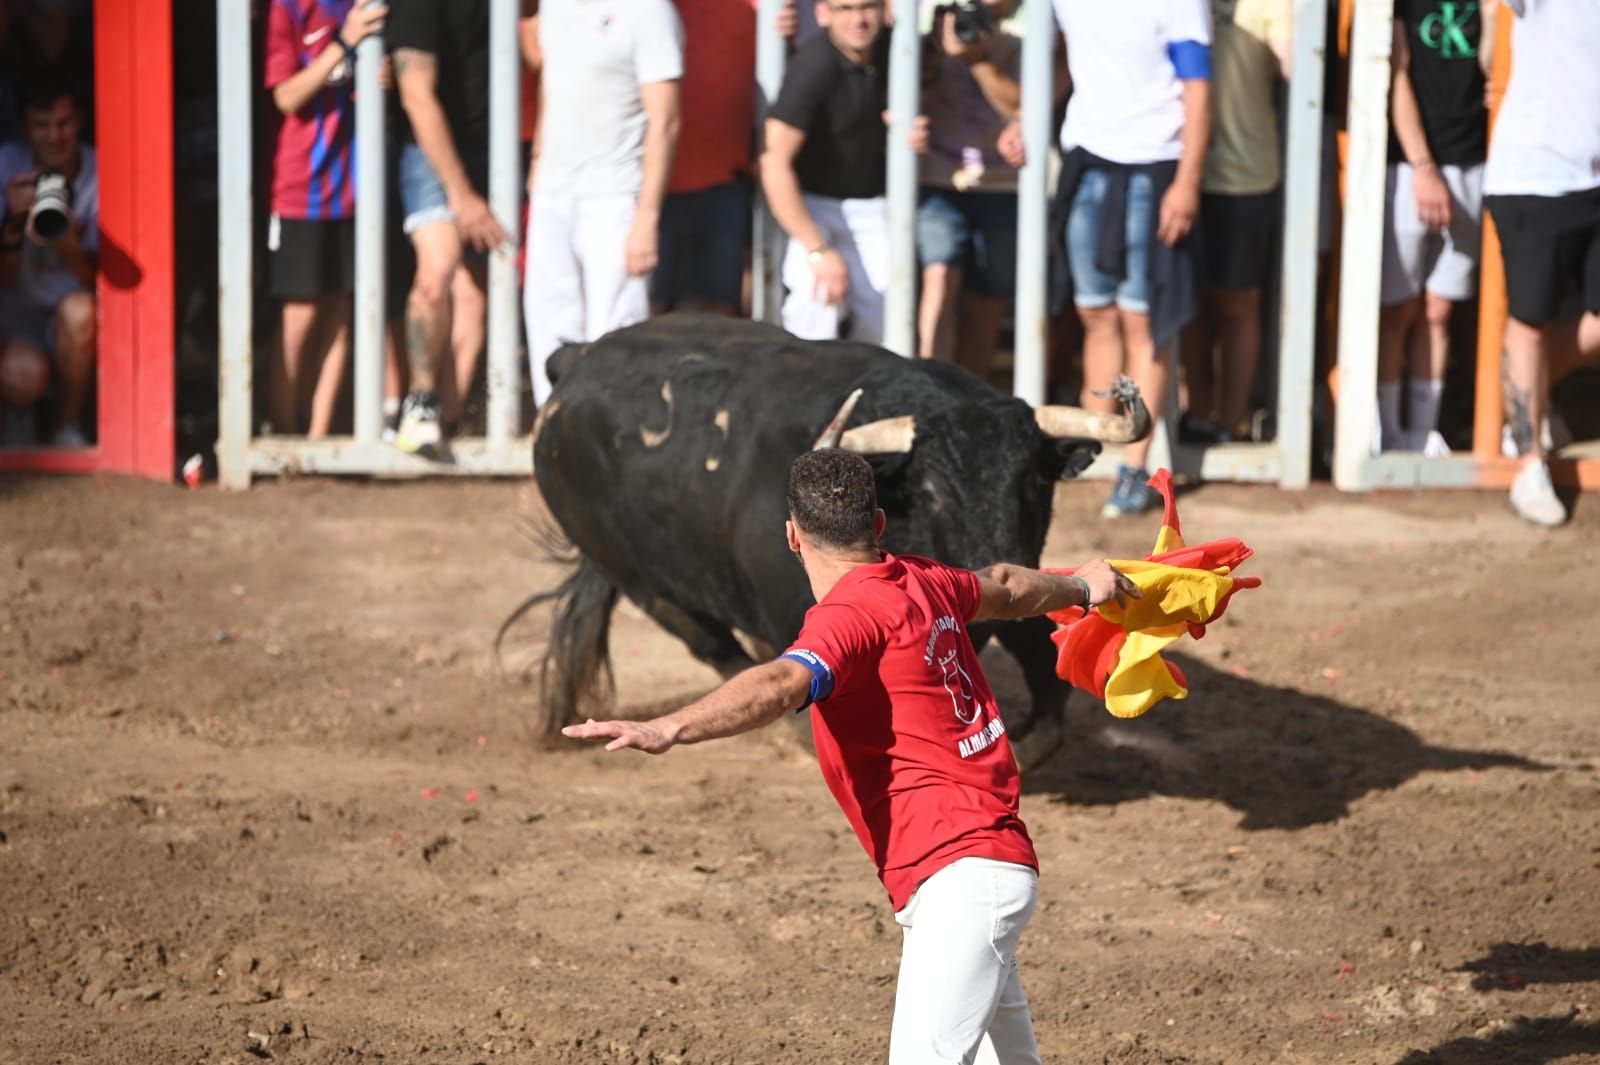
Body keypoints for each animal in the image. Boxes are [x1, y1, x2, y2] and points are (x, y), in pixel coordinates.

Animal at [505, 311, 1145, 767]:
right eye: (933, 489)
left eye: (1034, 481)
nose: (996, 555)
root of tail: (575, 360)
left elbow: (1044, 668)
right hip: (642, 581)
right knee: (711, 643)